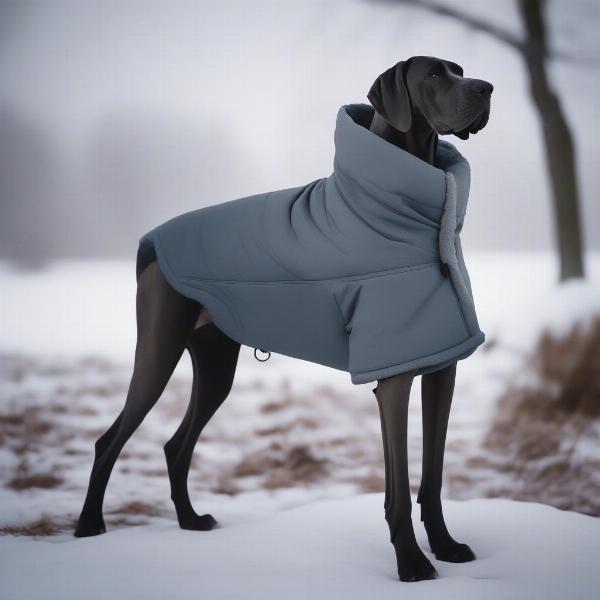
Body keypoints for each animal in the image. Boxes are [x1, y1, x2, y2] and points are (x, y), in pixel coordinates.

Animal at [74, 55, 492, 580]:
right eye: (434, 75)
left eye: (459, 69)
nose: (488, 88)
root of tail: (150, 244)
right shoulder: (393, 376)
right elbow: (397, 485)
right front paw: (412, 564)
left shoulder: (442, 367)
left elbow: (431, 477)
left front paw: (446, 547)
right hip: (158, 351)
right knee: (108, 441)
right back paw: (89, 526)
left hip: (216, 363)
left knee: (175, 444)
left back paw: (190, 520)